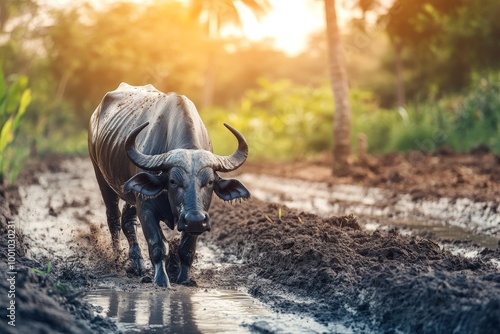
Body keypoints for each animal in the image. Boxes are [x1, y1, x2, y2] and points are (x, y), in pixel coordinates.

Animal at [89, 83, 250, 288]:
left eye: (210, 182)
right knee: (114, 219)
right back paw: (118, 258)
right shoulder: (146, 207)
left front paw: (184, 278)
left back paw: (136, 263)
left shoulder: (199, 213)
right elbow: (158, 244)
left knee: (127, 219)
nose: (195, 219)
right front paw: (161, 280)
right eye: (173, 181)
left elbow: (187, 248)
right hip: (101, 176)